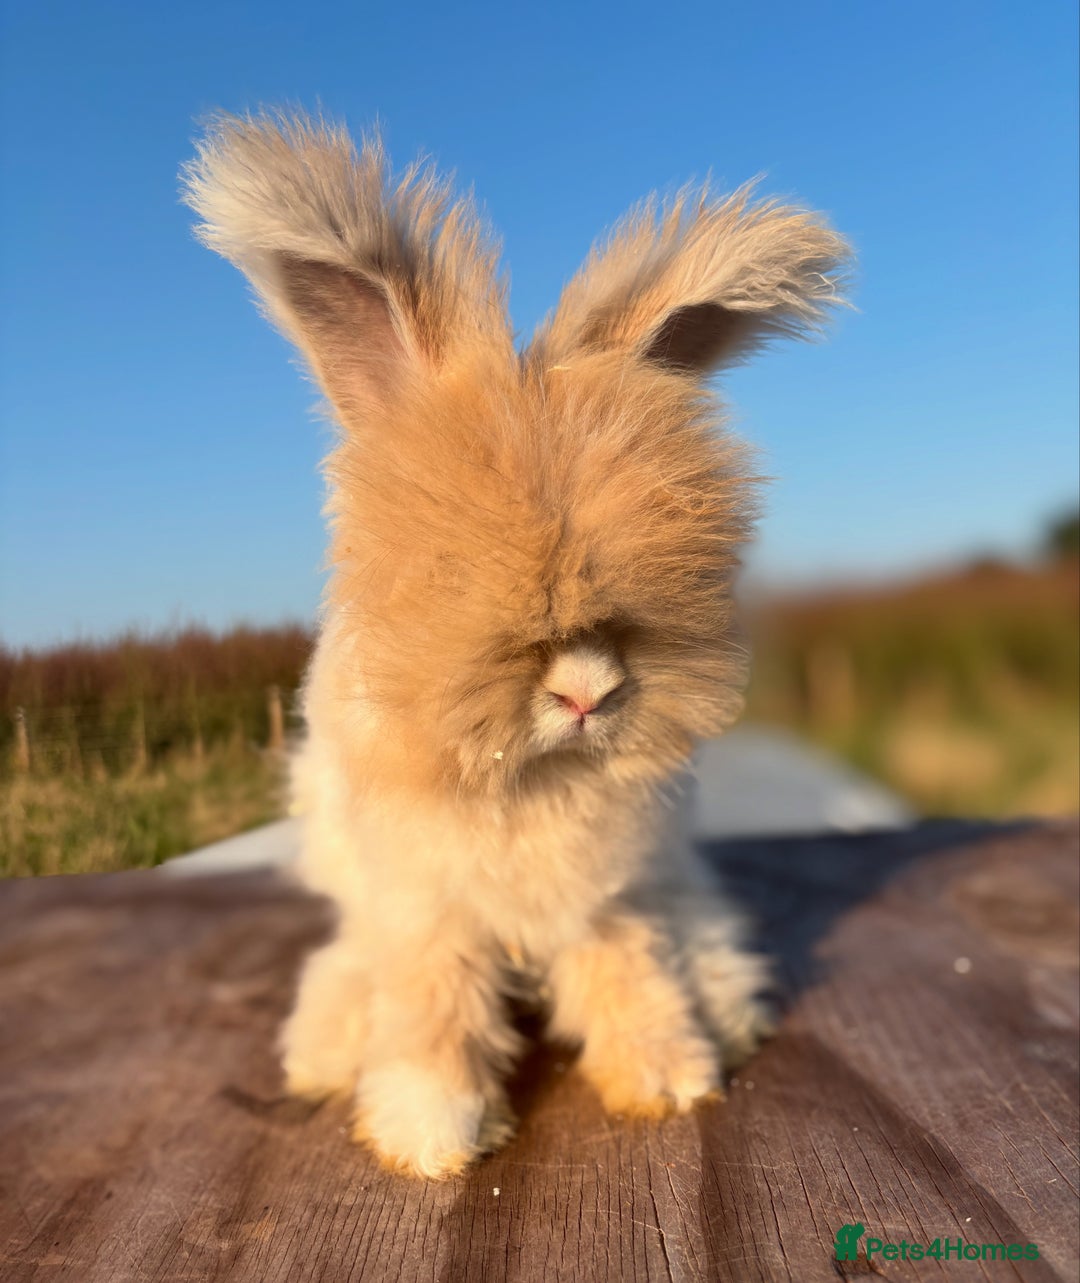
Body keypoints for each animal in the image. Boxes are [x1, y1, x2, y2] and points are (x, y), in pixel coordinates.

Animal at [182, 112, 850, 1179]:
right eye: (450, 568)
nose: (587, 692)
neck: (528, 777)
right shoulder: (427, 913)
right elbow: (433, 1010)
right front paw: (430, 1135)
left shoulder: (607, 902)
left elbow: (628, 975)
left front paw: (669, 1079)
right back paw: (325, 1048)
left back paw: (729, 1005)